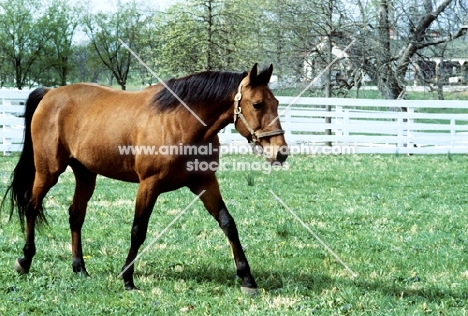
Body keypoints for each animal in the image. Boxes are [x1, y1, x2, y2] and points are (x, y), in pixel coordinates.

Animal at [1, 63, 288, 294]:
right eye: (257, 104)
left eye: (275, 102)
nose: (280, 152)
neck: (180, 121)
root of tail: (50, 94)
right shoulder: (149, 185)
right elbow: (138, 230)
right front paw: (128, 279)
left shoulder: (205, 182)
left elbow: (228, 224)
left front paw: (247, 278)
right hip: (48, 171)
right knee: (32, 205)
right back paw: (24, 261)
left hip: (85, 173)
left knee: (76, 215)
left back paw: (79, 268)